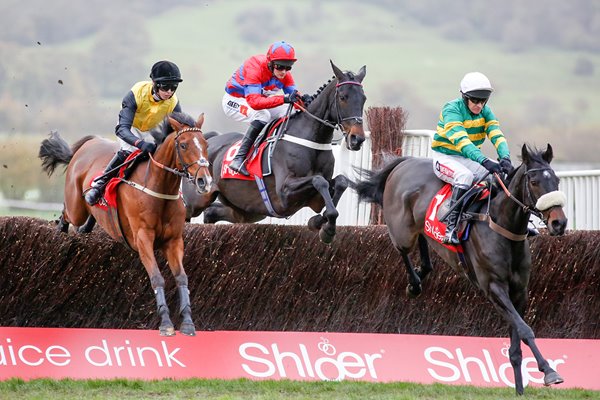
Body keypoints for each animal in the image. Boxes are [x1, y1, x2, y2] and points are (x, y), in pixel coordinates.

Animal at [38, 112, 212, 338]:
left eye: (205, 144)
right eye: (183, 145)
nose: (204, 181)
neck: (159, 188)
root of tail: (89, 143)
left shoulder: (174, 241)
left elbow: (182, 278)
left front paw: (188, 323)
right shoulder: (143, 238)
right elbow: (157, 278)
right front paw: (166, 323)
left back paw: (86, 225)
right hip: (76, 207)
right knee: (68, 213)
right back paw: (62, 226)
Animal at [183, 61, 368, 244]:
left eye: (363, 99)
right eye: (343, 97)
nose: (357, 139)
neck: (311, 140)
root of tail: (208, 141)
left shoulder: (315, 199)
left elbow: (341, 182)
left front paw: (321, 224)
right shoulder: (284, 192)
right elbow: (319, 180)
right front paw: (326, 227)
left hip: (247, 212)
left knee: (211, 213)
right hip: (196, 200)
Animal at [354, 144, 568, 394]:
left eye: (556, 180)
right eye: (534, 181)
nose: (559, 223)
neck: (501, 226)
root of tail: (404, 163)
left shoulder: (519, 291)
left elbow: (516, 342)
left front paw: (520, 389)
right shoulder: (494, 288)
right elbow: (525, 330)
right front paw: (549, 371)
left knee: (424, 239)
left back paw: (423, 270)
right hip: (402, 230)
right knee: (402, 248)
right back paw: (414, 284)